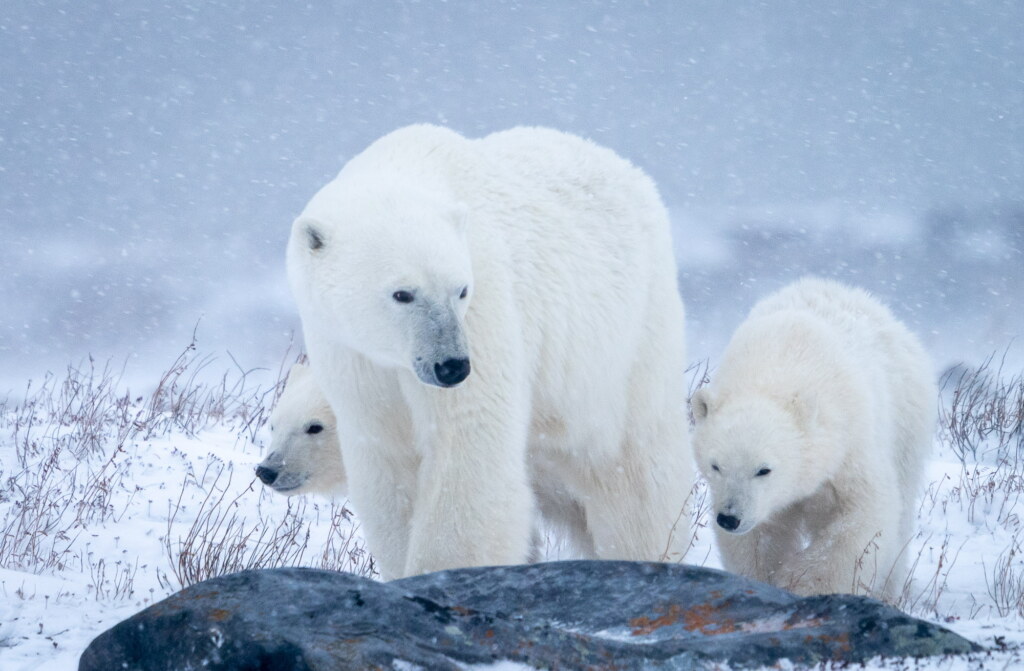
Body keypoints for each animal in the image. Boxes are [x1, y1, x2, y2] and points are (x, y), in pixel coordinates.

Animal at [286, 124, 694, 578]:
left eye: (461, 290)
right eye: (402, 293)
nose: (452, 367)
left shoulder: (486, 311)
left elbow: (467, 449)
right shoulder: (350, 354)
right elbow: (390, 459)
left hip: (624, 345)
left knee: (632, 477)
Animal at [690, 277, 935, 601]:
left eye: (764, 469)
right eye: (716, 466)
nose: (730, 517)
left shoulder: (849, 445)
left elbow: (862, 519)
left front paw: (801, 584)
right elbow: (759, 538)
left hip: (906, 423)